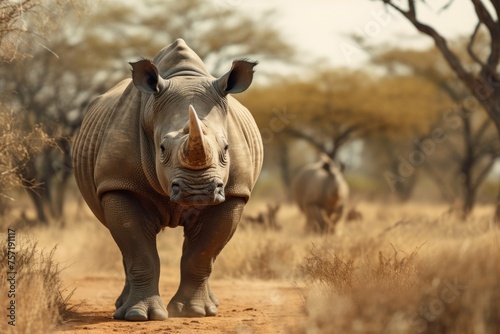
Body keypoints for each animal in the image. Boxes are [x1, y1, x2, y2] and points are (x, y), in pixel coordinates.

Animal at [73, 39, 266, 320]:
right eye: (162, 149)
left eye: (226, 148)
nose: (199, 191)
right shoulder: (118, 183)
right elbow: (139, 252)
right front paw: (140, 315)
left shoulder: (233, 192)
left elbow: (203, 253)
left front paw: (193, 311)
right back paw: (121, 308)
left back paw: (211, 305)